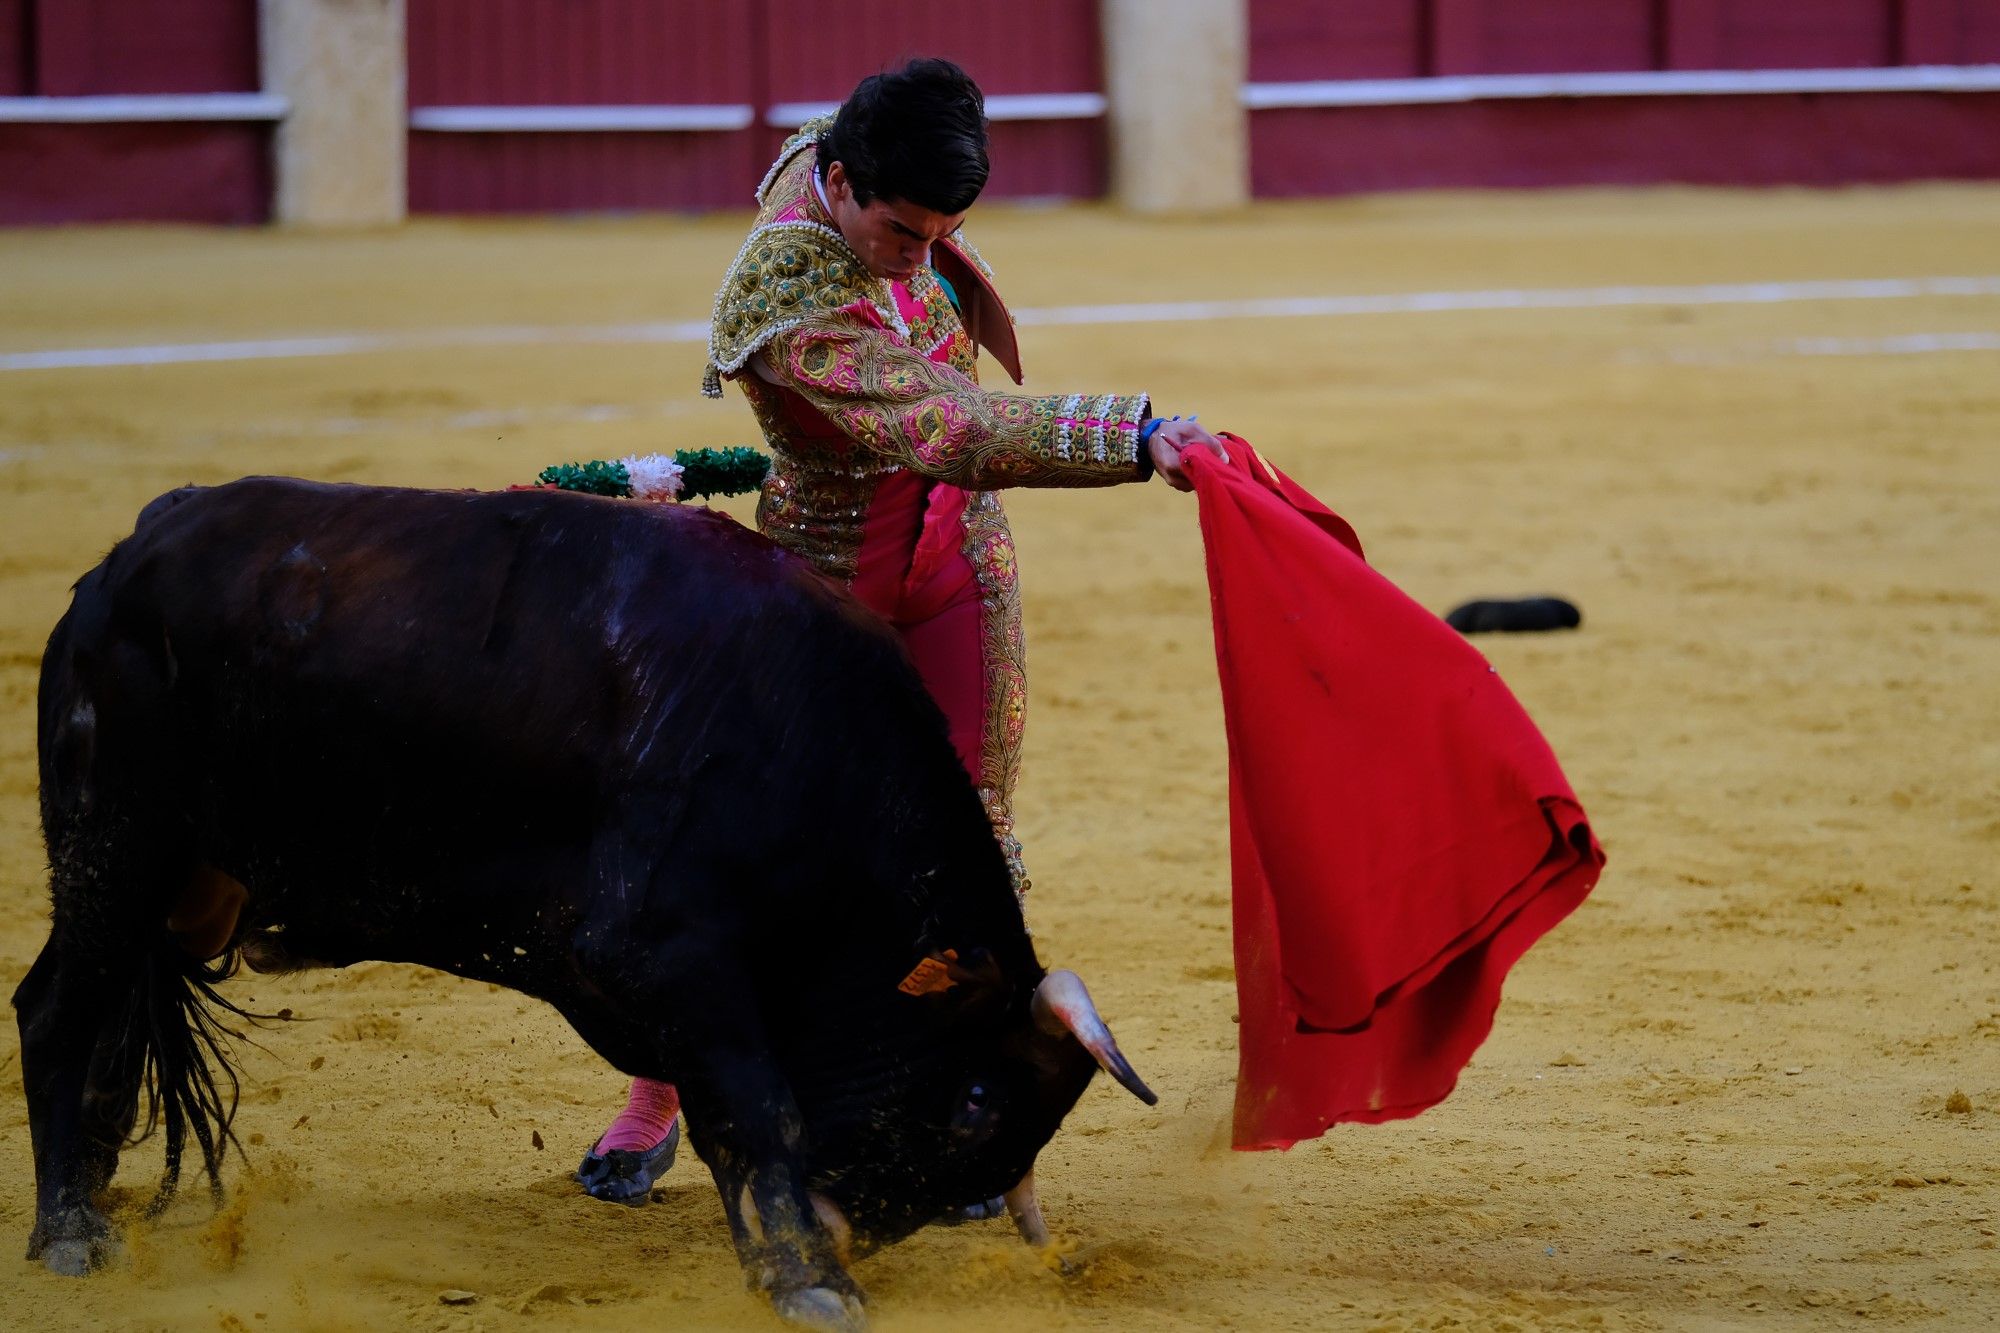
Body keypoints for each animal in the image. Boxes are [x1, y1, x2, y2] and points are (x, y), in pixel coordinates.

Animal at [19, 474, 1160, 1320]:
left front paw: (788, 1262)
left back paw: (97, 1202)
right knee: (58, 1008)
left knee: (105, 1014)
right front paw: (812, 1280)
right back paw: (68, 1232)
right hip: (113, 839)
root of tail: (129, 553)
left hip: (178, 880)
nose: (850, 1225)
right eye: (975, 1102)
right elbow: (760, 1103)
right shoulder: (669, 953)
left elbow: (741, 1113)